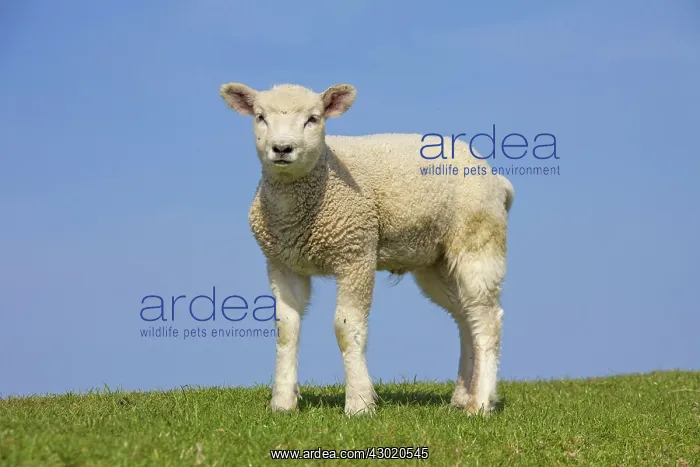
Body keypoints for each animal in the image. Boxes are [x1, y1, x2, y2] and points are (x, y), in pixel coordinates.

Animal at [219, 82, 515, 416]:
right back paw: (463, 395)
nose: (282, 149)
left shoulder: (355, 254)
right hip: (435, 262)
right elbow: (286, 329)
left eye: (313, 118)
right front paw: (283, 403)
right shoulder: (281, 264)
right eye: (260, 117)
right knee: (467, 318)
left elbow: (347, 329)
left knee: (487, 319)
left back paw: (481, 403)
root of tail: (495, 177)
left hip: (477, 238)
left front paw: (359, 403)